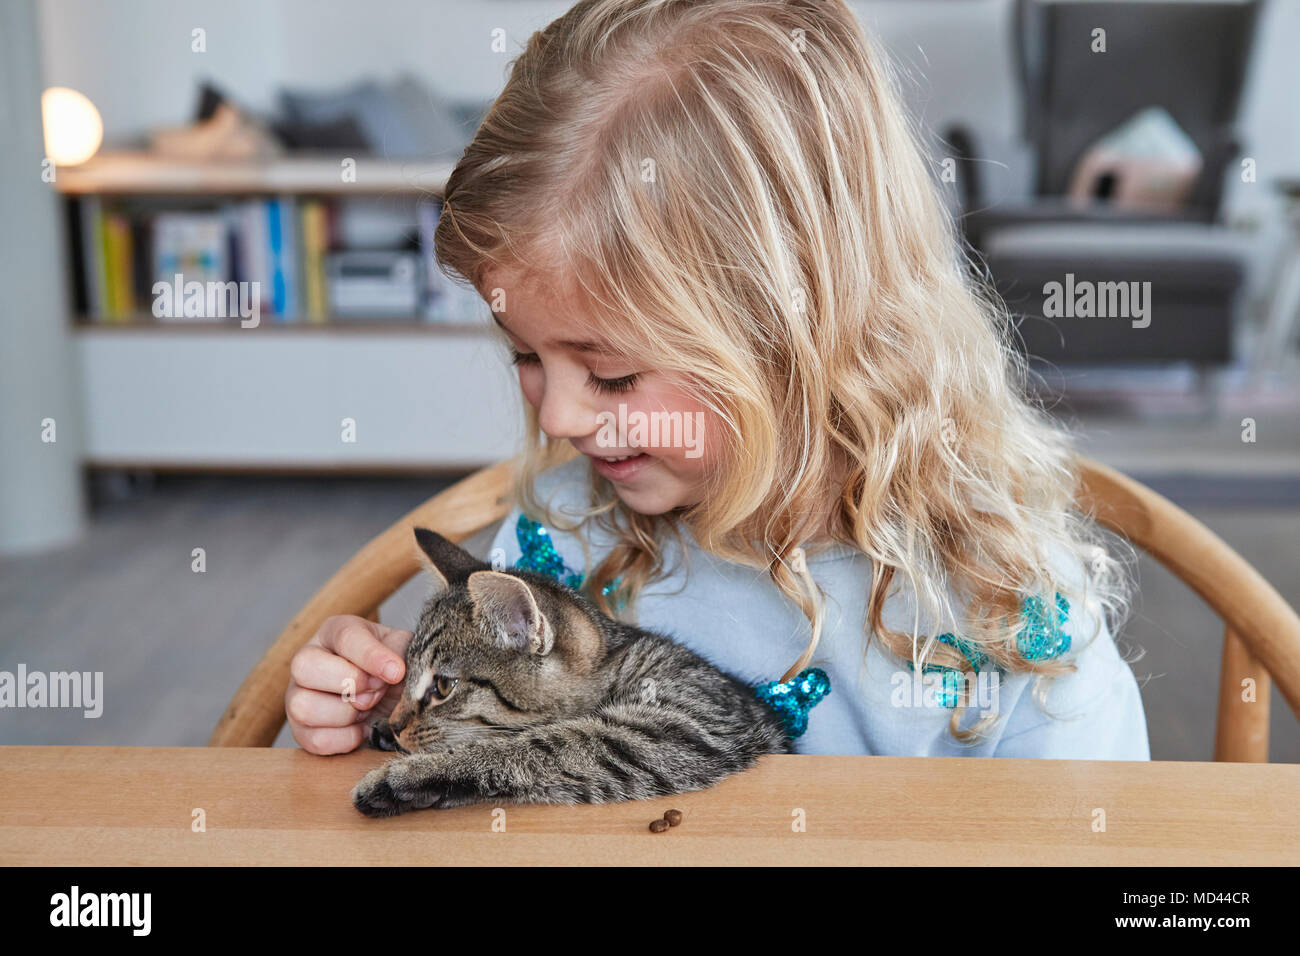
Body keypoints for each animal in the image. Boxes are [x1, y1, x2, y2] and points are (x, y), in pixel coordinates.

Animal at [348, 528, 790, 816]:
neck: (616, 665)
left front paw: (408, 776)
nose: (397, 724)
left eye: (443, 686)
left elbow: (532, 747)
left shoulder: (676, 726)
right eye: (406, 675)